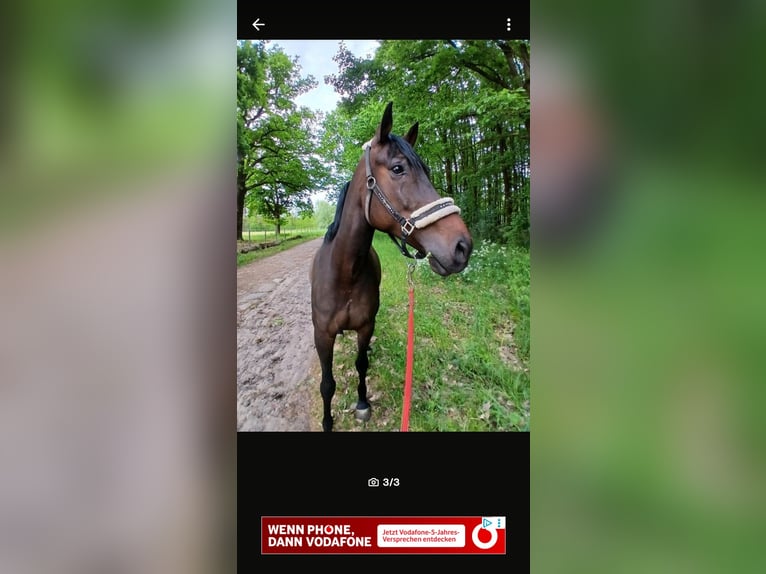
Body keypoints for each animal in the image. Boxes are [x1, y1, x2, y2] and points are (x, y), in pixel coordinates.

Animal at [310, 102, 473, 432]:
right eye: (398, 168)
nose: (462, 246)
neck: (344, 274)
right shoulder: (322, 335)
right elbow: (327, 384)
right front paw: (327, 422)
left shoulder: (365, 326)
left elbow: (361, 364)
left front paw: (362, 404)